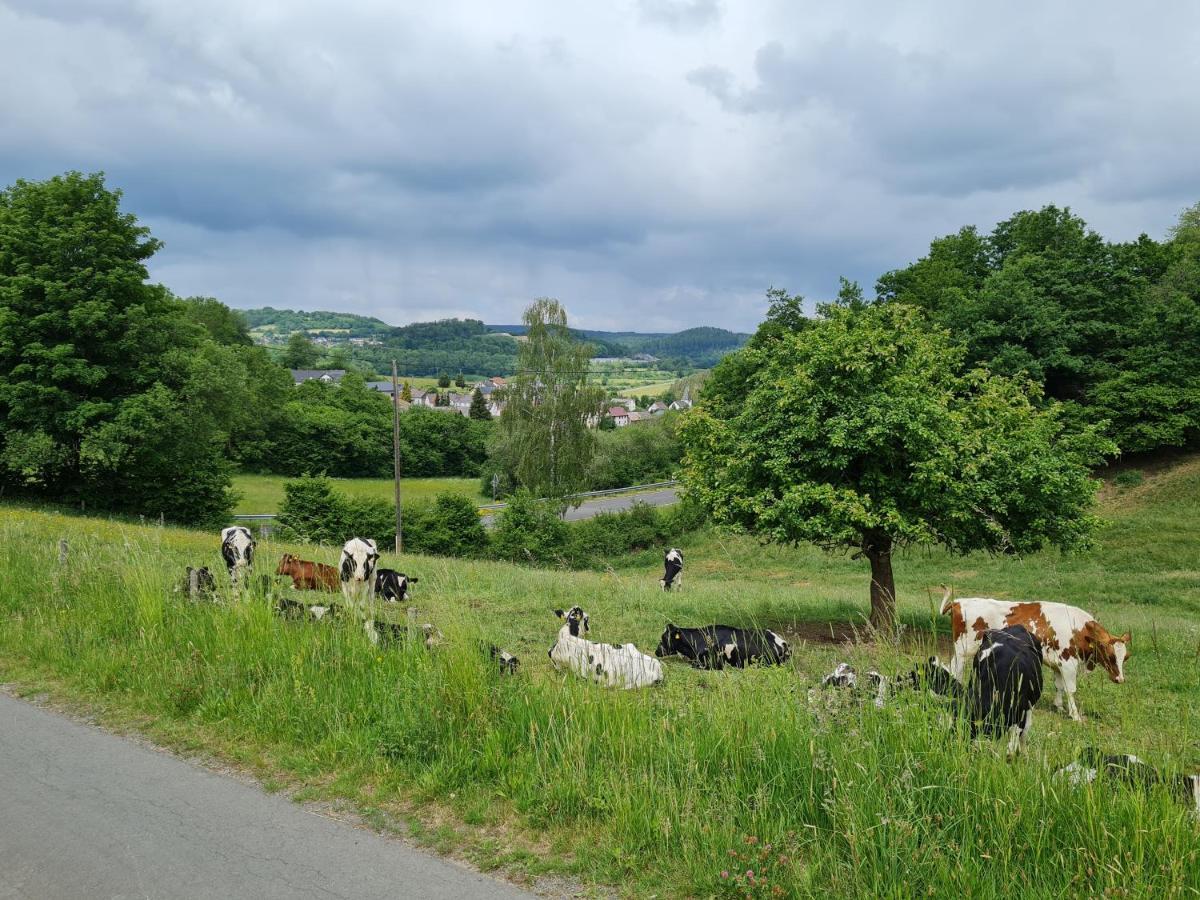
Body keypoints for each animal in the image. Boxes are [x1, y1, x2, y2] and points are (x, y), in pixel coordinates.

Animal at [940, 588, 1128, 724]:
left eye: (1125, 658)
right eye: (1111, 656)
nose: (1120, 679)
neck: (1078, 629)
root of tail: (958, 602)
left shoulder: (1058, 662)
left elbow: (1059, 686)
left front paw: (1058, 706)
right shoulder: (1068, 662)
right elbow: (1071, 689)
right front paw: (1075, 715)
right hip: (963, 650)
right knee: (955, 670)